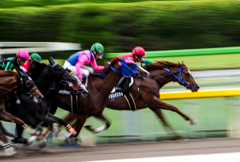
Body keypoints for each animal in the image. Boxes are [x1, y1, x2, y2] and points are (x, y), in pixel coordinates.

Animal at [62, 60, 200, 140]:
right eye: (187, 74)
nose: (196, 87)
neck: (151, 79)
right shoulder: (151, 100)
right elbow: (173, 107)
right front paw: (191, 120)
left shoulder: (153, 105)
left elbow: (163, 120)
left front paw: (175, 135)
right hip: (83, 109)